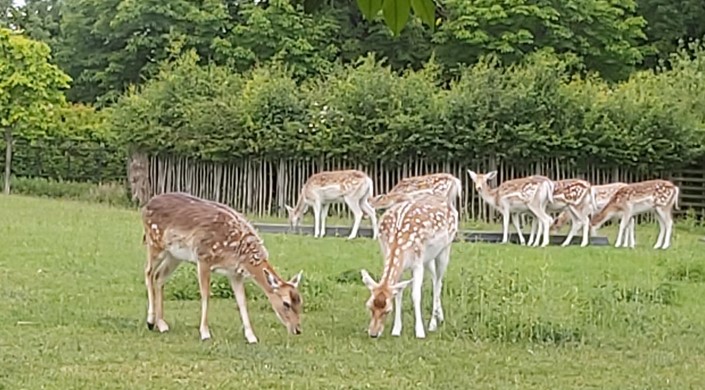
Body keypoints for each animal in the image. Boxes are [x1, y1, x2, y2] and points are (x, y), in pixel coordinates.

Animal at [360, 193, 460, 340]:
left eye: (387, 311)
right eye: (369, 306)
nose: (373, 334)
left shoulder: (417, 264)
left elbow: (416, 295)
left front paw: (420, 332)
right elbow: (399, 294)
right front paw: (396, 330)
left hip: (445, 248)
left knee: (439, 282)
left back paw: (433, 324)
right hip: (428, 258)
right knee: (434, 278)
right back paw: (439, 317)